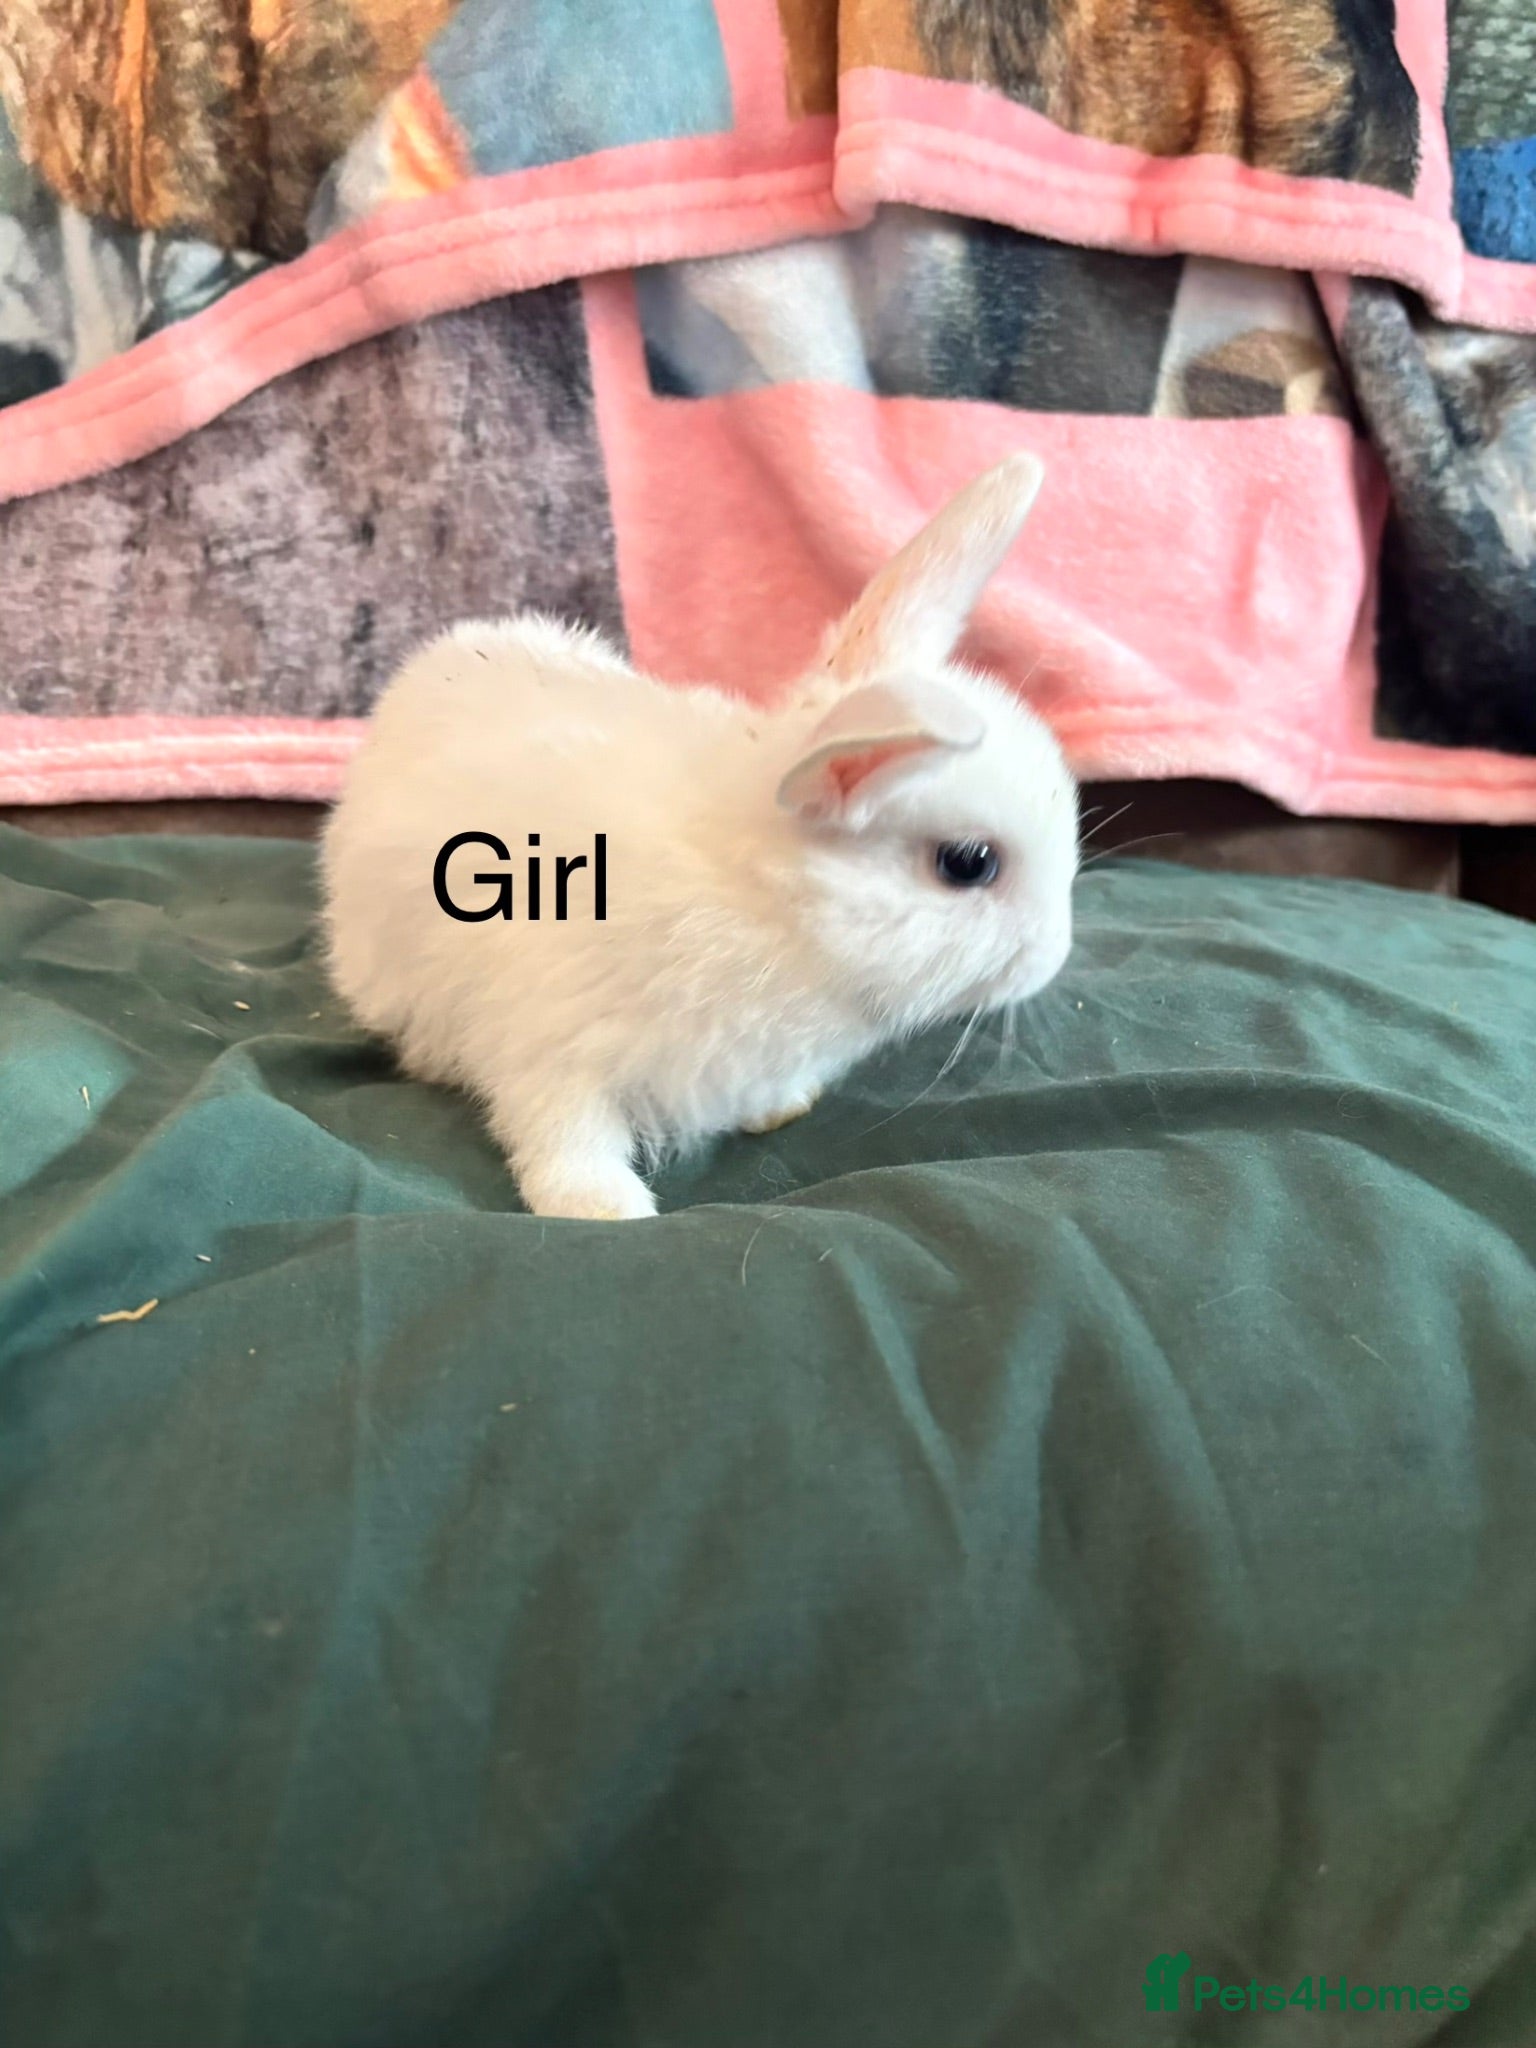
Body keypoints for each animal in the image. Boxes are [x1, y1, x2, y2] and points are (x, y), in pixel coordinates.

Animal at [320, 453, 1078, 1220]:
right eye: (968, 863)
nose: (1056, 956)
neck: (765, 907)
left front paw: (779, 1107)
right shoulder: (553, 1044)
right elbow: (564, 1132)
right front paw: (603, 1208)